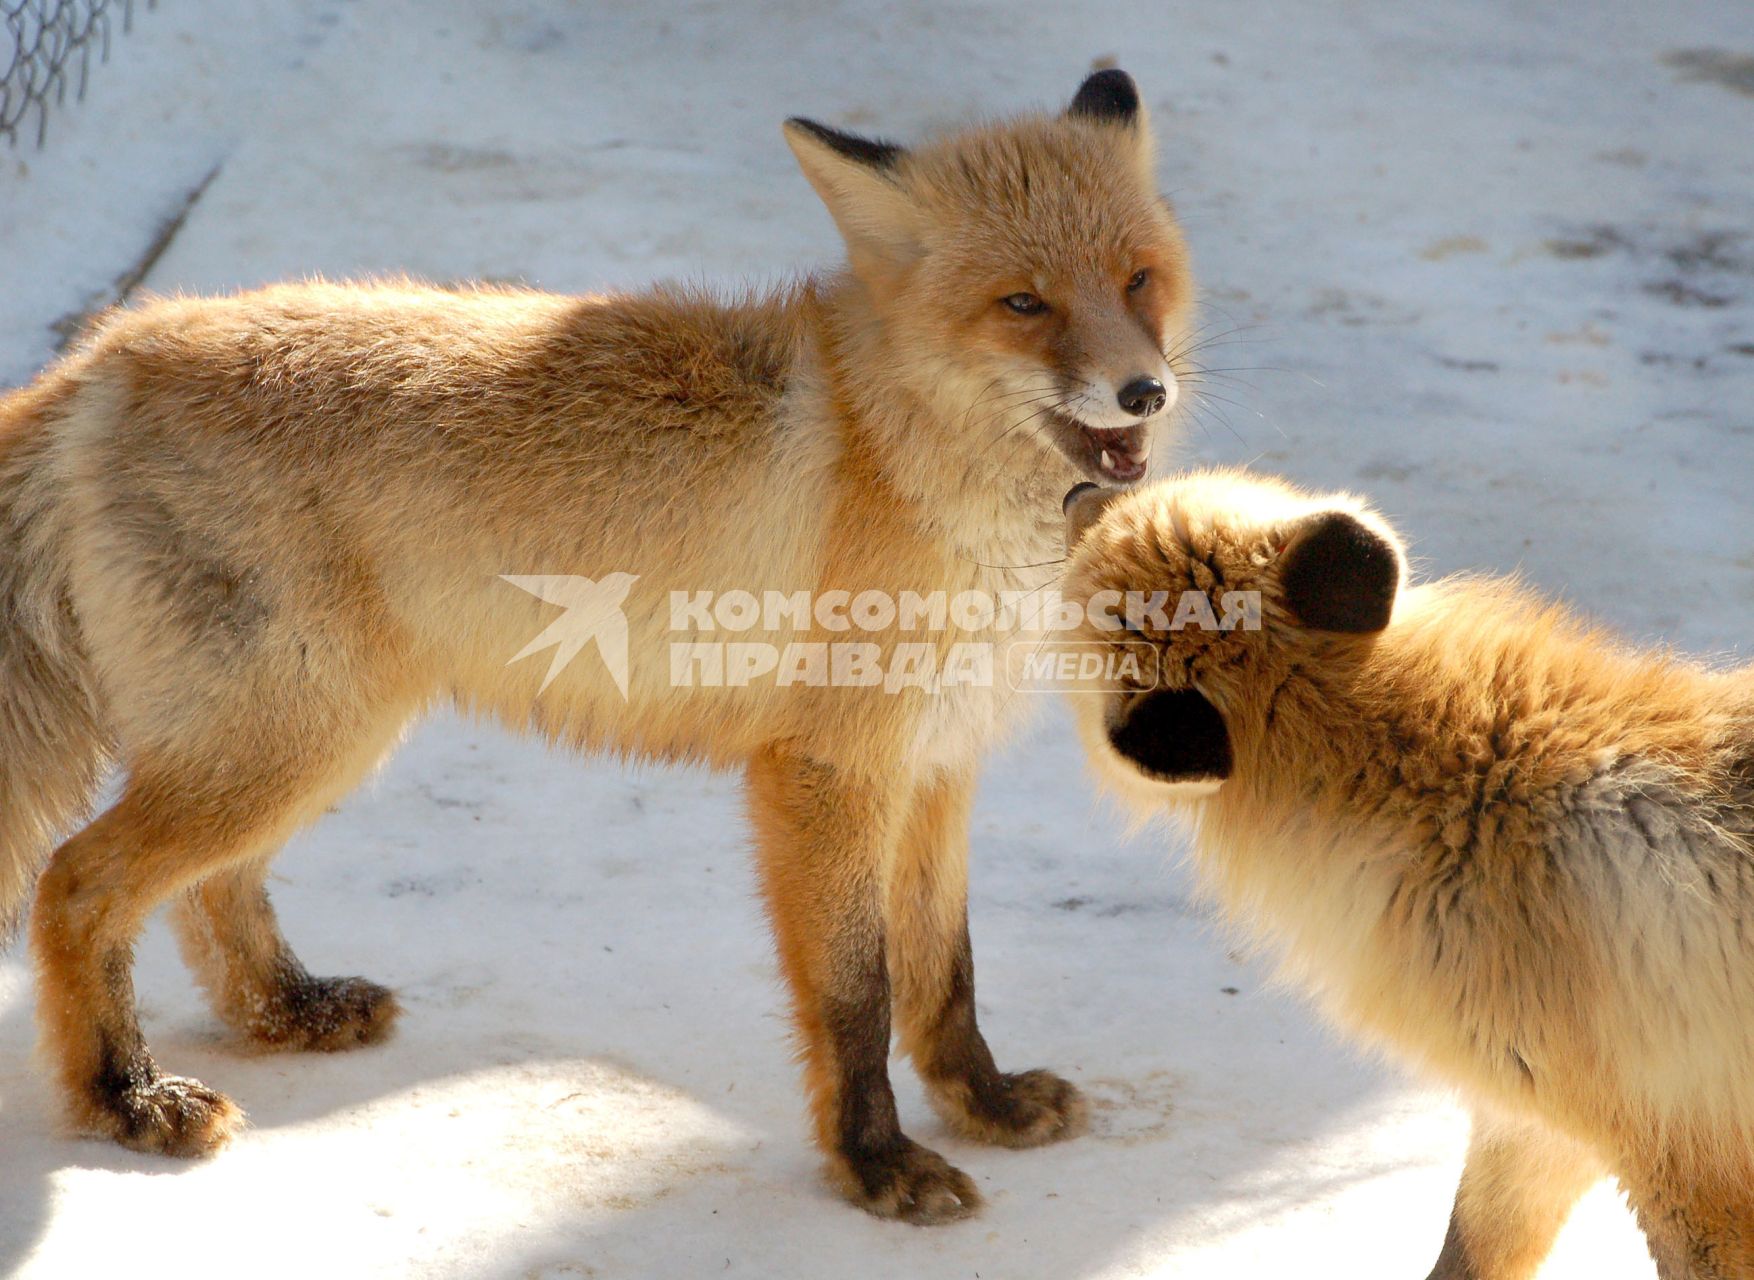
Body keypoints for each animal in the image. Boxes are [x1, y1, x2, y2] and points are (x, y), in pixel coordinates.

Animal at [0, 72, 1192, 1227]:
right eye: (1023, 304)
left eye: (1137, 280)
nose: (1143, 391)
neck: (902, 456)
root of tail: (107, 352)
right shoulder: (827, 773)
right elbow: (860, 997)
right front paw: (875, 1165)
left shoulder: (938, 764)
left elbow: (946, 975)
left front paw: (982, 1103)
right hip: (289, 738)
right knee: (76, 883)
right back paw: (124, 1096)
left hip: (298, 741)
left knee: (212, 892)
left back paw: (284, 1009)